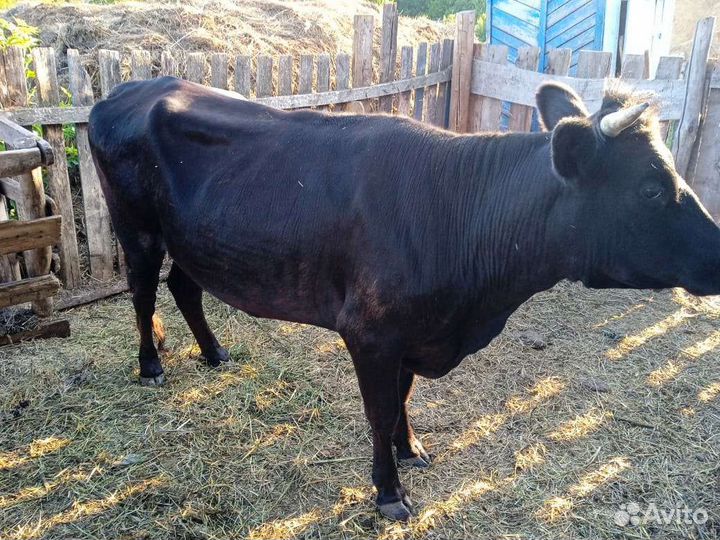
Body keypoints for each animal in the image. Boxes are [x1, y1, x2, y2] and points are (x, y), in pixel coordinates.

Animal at [88, 76, 720, 521]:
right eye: (650, 188)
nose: (718, 254)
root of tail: (126, 89)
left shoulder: (416, 332)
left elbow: (403, 397)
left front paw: (411, 446)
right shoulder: (370, 331)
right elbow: (379, 408)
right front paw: (389, 491)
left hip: (193, 238)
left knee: (183, 286)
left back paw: (214, 353)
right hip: (136, 228)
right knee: (143, 293)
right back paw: (151, 365)